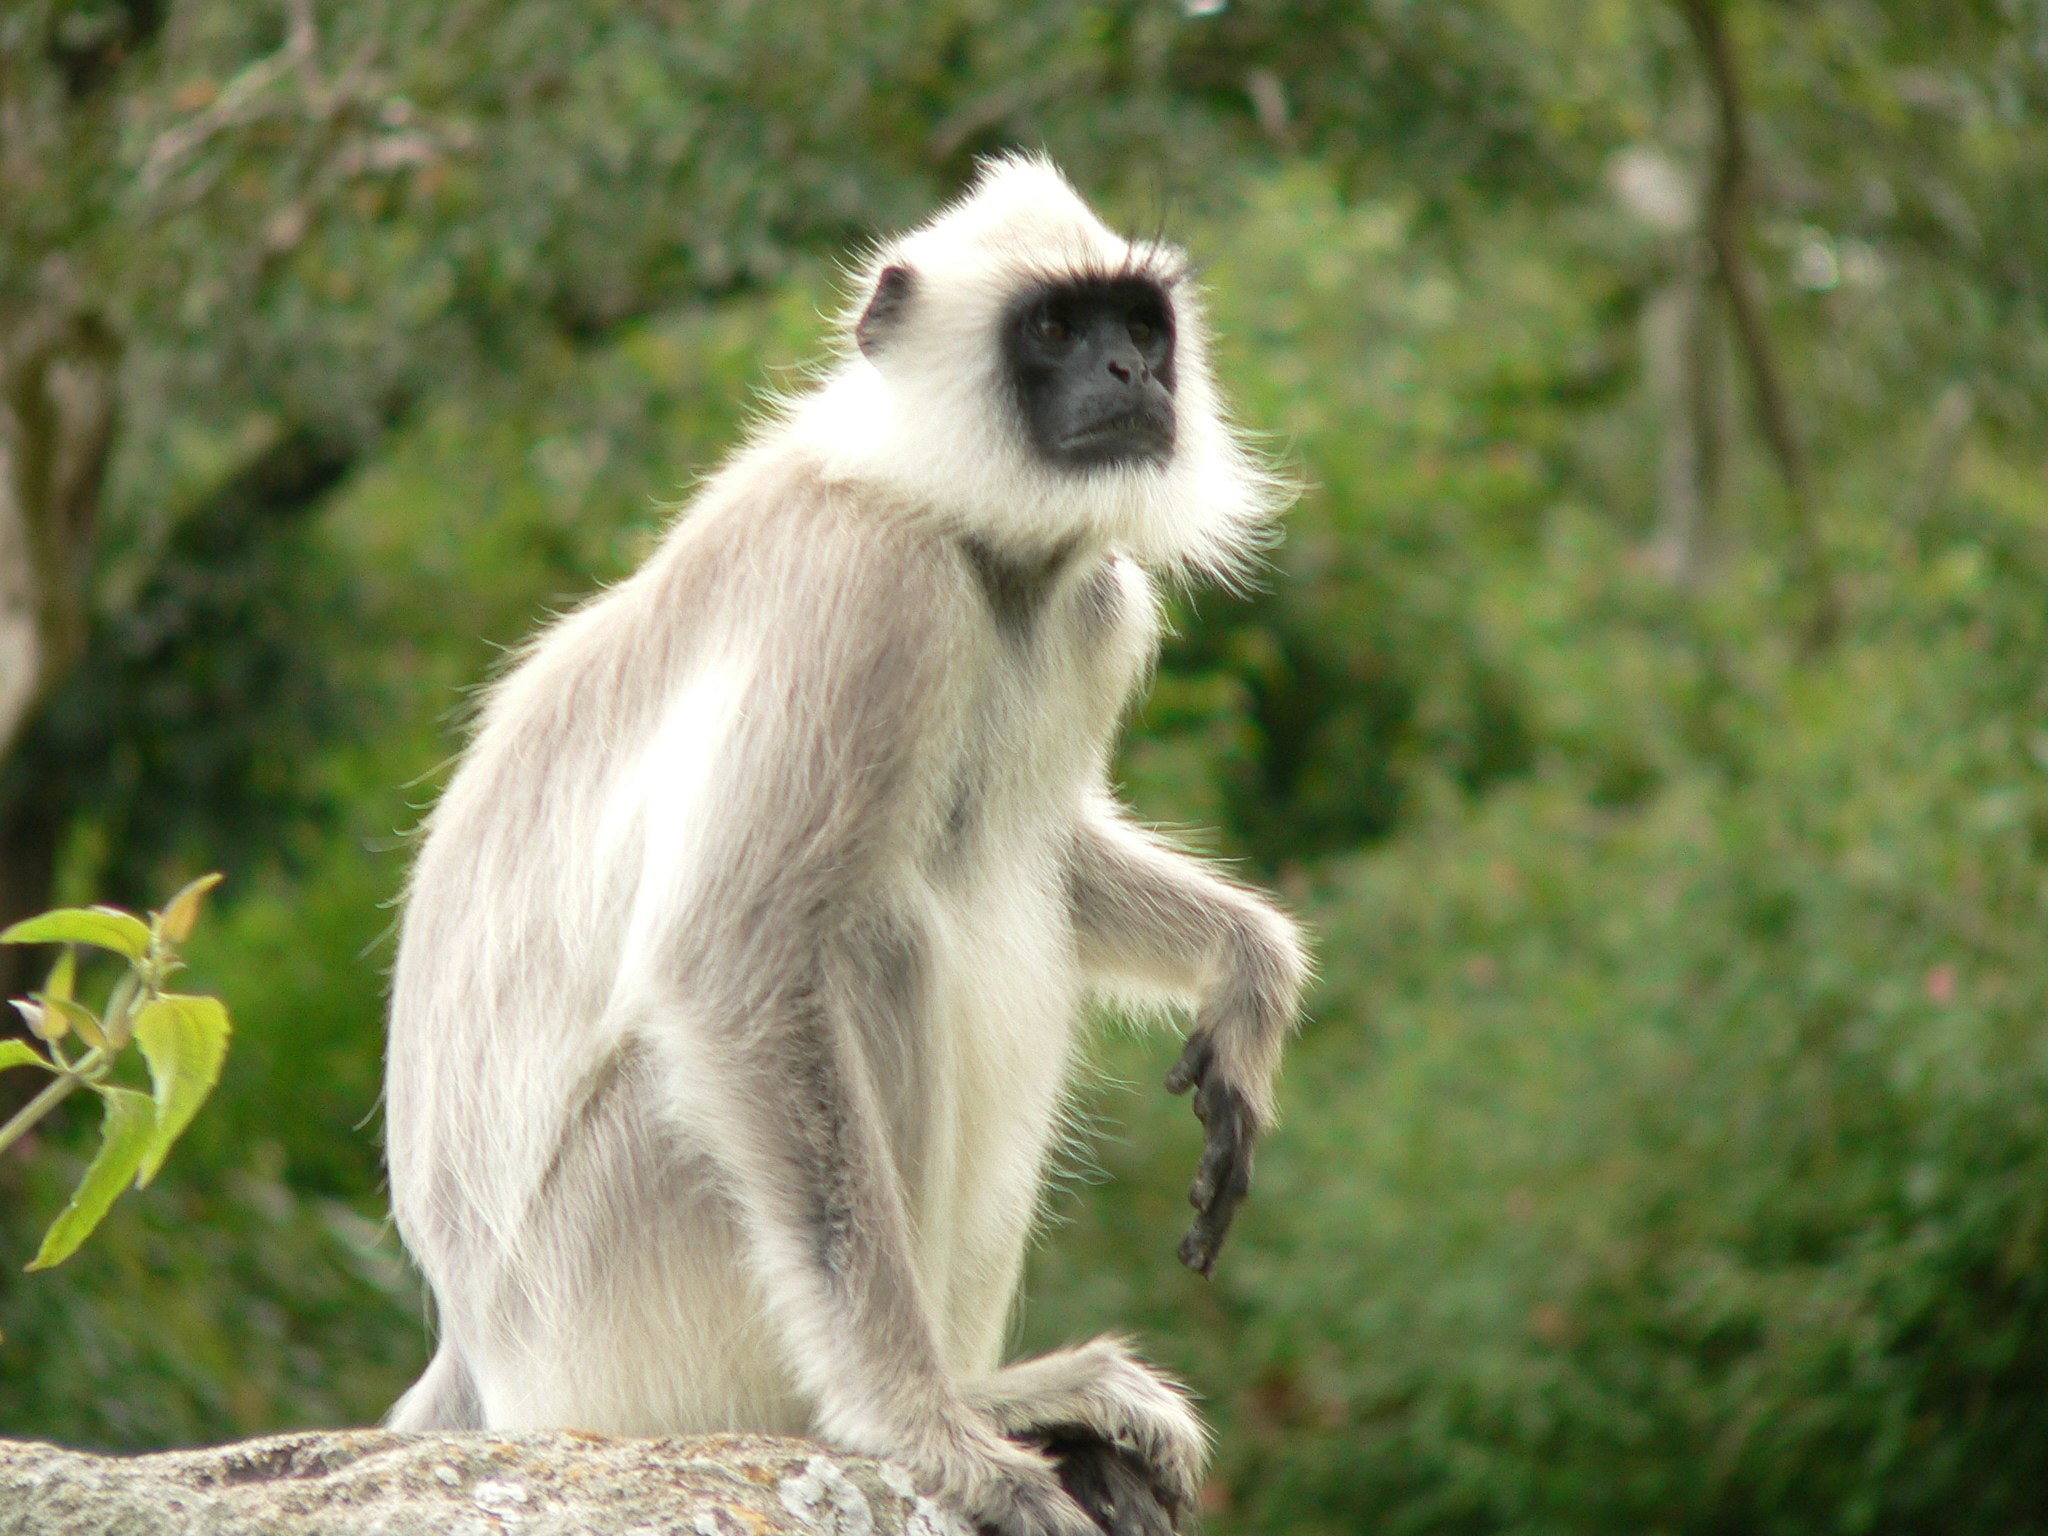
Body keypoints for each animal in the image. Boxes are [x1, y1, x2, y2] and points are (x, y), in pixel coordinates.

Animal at [385, 153, 1302, 1536]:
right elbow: (731, 961)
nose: (1132, 376)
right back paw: (968, 1400)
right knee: (874, 939)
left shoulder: (1093, 609)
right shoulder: (867, 590)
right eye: (1052, 329)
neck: (973, 541)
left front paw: (1249, 973)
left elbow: (1054, 855)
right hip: (623, 1295)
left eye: (1140, 328)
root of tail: (479, 1358)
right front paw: (922, 1427)